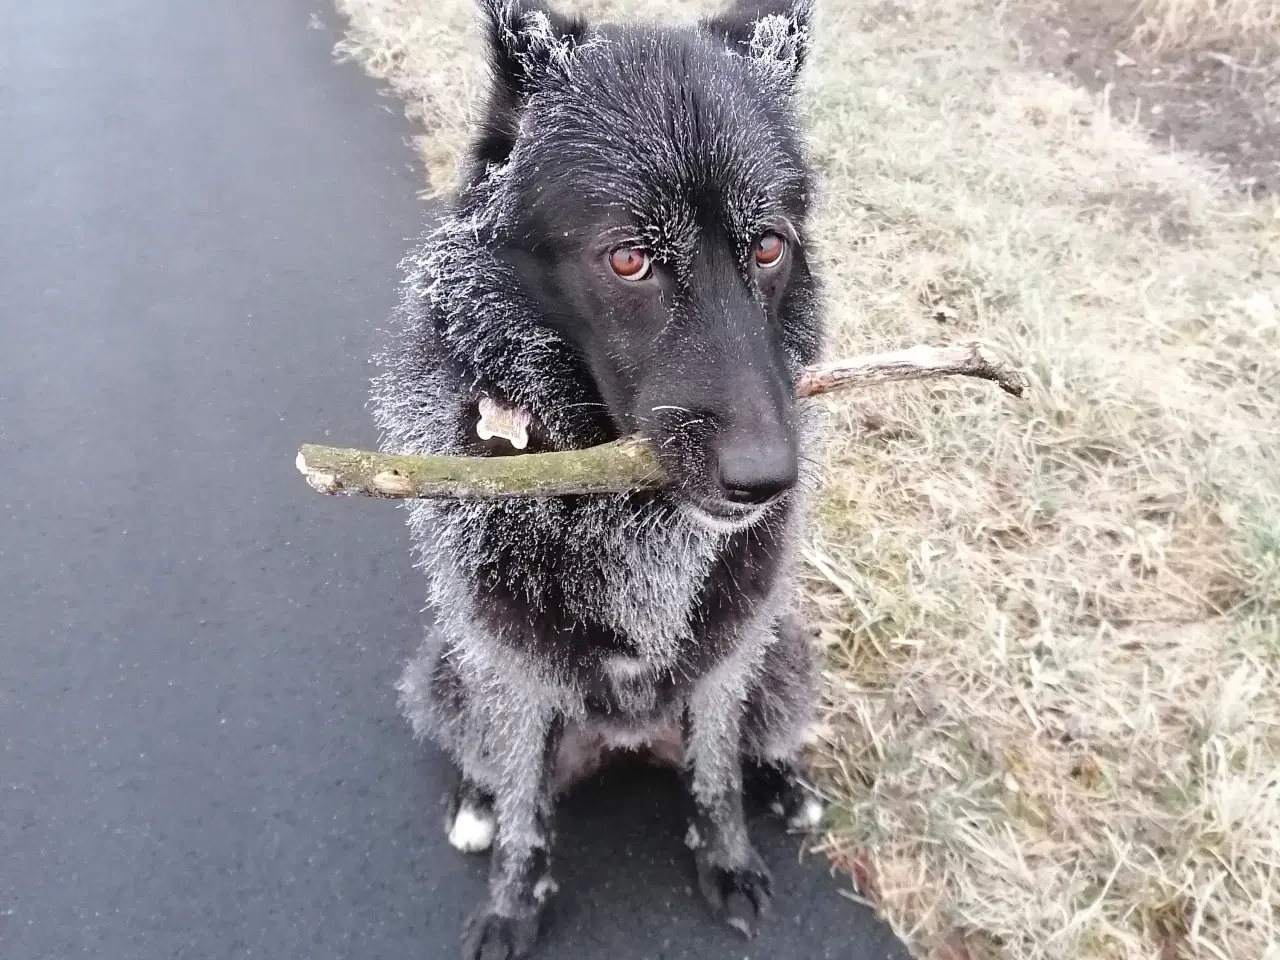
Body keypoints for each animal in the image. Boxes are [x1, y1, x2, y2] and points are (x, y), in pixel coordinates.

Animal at [373, 3, 824, 957]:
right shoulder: (512, 666)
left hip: (783, 652)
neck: (626, 511)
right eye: (629, 261)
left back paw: (784, 784)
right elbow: (523, 806)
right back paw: (475, 800)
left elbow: (717, 773)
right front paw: (514, 902)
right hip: (452, 665)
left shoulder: (727, 657)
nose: (766, 480)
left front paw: (726, 858)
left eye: (770, 246)